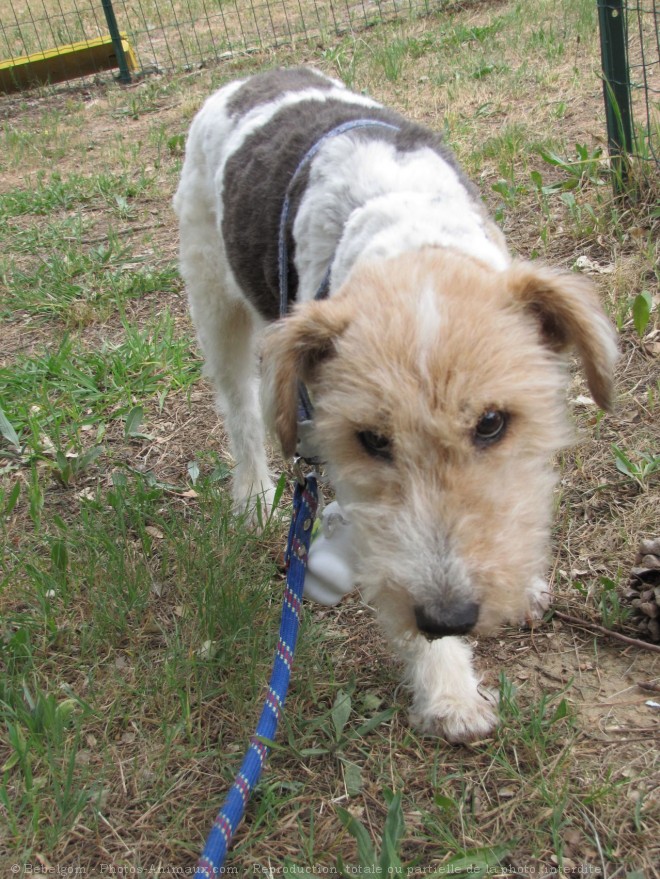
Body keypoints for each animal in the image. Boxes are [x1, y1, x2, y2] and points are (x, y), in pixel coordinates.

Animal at [173, 67, 616, 744]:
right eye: (373, 440)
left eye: (492, 423)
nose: (447, 616)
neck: (412, 244)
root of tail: (252, 77)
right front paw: (451, 692)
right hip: (215, 301)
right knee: (240, 410)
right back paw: (252, 499)